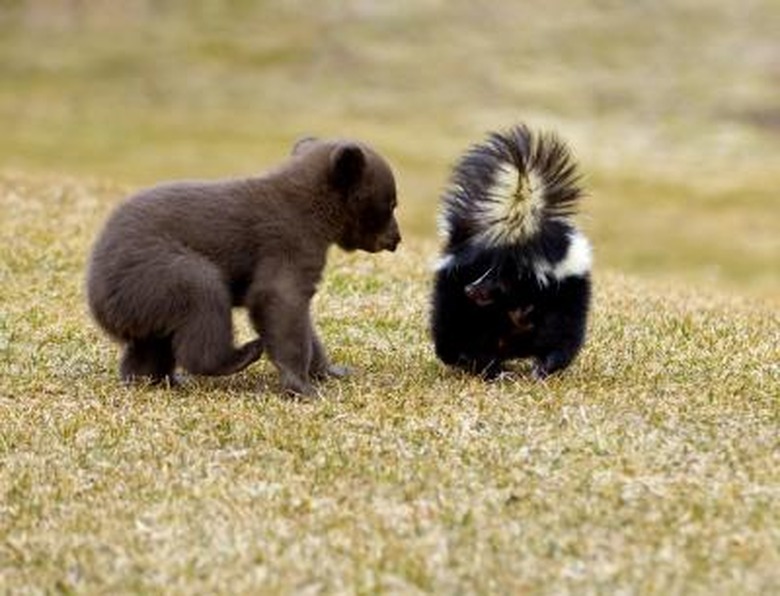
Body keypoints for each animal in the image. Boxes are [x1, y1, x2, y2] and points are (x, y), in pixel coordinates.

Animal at [432, 123, 592, 380]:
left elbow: (560, 341)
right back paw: (480, 365)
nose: (471, 289)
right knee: (455, 328)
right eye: (481, 273)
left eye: (501, 279)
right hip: (453, 295)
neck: (519, 303)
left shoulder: (563, 296)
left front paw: (542, 370)